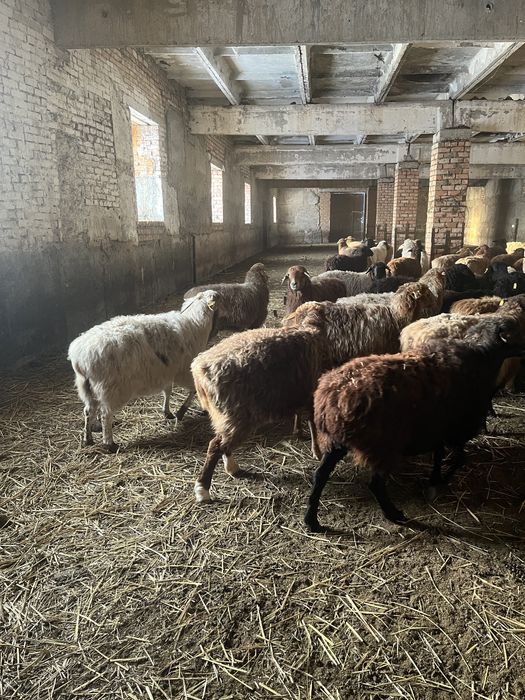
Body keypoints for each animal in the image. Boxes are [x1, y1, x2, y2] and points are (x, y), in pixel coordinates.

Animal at [68, 290, 221, 451]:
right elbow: (193, 390)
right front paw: (181, 412)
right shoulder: (184, 372)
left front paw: (167, 412)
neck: (196, 323)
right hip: (112, 389)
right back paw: (110, 444)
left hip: (87, 388)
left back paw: (88, 438)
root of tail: (80, 357)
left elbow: (167, 391)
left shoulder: (167, 371)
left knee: (88, 411)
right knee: (105, 415)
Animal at [192, 281, 439, 503]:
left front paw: (310, 442)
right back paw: (203, 490)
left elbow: (308, 416)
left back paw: (232, 467)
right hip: (237, 413)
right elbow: (313, 418)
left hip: (229, 415)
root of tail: (199, 368)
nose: (437, 308)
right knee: (216, 445)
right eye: (425, 298)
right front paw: (317, 448)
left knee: (222, 443)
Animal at [305, 317, 525, 531]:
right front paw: (440, 482)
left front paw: (435, 478)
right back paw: (393, 514)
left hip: (338, 442)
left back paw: (312, 521)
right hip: (381, 446)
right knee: (375, 484)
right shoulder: (457, 429)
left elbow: (439, 455)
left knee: (320, 475)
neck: (483, 357)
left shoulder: (438, 428)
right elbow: (460, 458)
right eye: (514, 334)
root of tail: (331, 398)